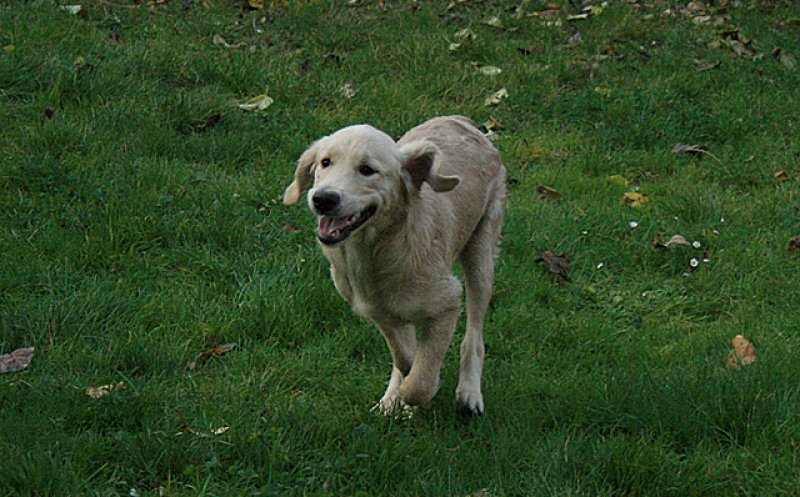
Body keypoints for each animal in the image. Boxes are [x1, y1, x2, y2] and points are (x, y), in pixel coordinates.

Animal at [284, 116, 504, 414]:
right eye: (325, 162)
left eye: (367, 169)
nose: (323, 198)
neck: (376, 251)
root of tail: (460, 120)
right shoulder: (377, 310)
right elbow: (404, 357)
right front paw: (399, 393)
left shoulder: (449, 301)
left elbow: (420, 382)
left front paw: (420, 390)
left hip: (481, 253)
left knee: (474, 336)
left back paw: (469, 392)